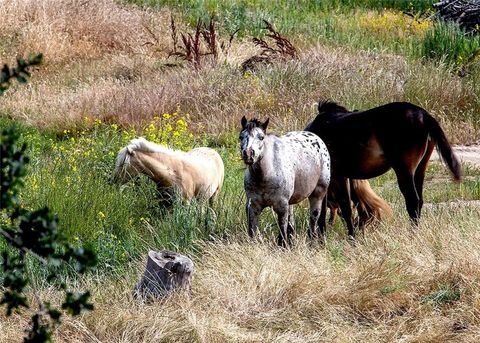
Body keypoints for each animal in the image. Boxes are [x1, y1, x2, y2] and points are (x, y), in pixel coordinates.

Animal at [240, 116, 330, 247]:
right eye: (241, 137)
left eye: (261, 137)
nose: (248, 154)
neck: (266, 175)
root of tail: (317, 138)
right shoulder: (253, 206)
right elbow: (252, 231)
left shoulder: (281, 206)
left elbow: (282, 228)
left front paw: (282, 245)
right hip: (290, 202)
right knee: (292, 221)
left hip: (318, 193)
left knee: (314, 218)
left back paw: (312, 241)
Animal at [306, 101, 464, 238]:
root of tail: (424, 115)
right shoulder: (342, 176)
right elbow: (343, 208)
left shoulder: (335, 177)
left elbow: (332, 209)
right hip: (420, 169)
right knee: (419, 201)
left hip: (404, 171)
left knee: (413, 201)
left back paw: (412, 235)